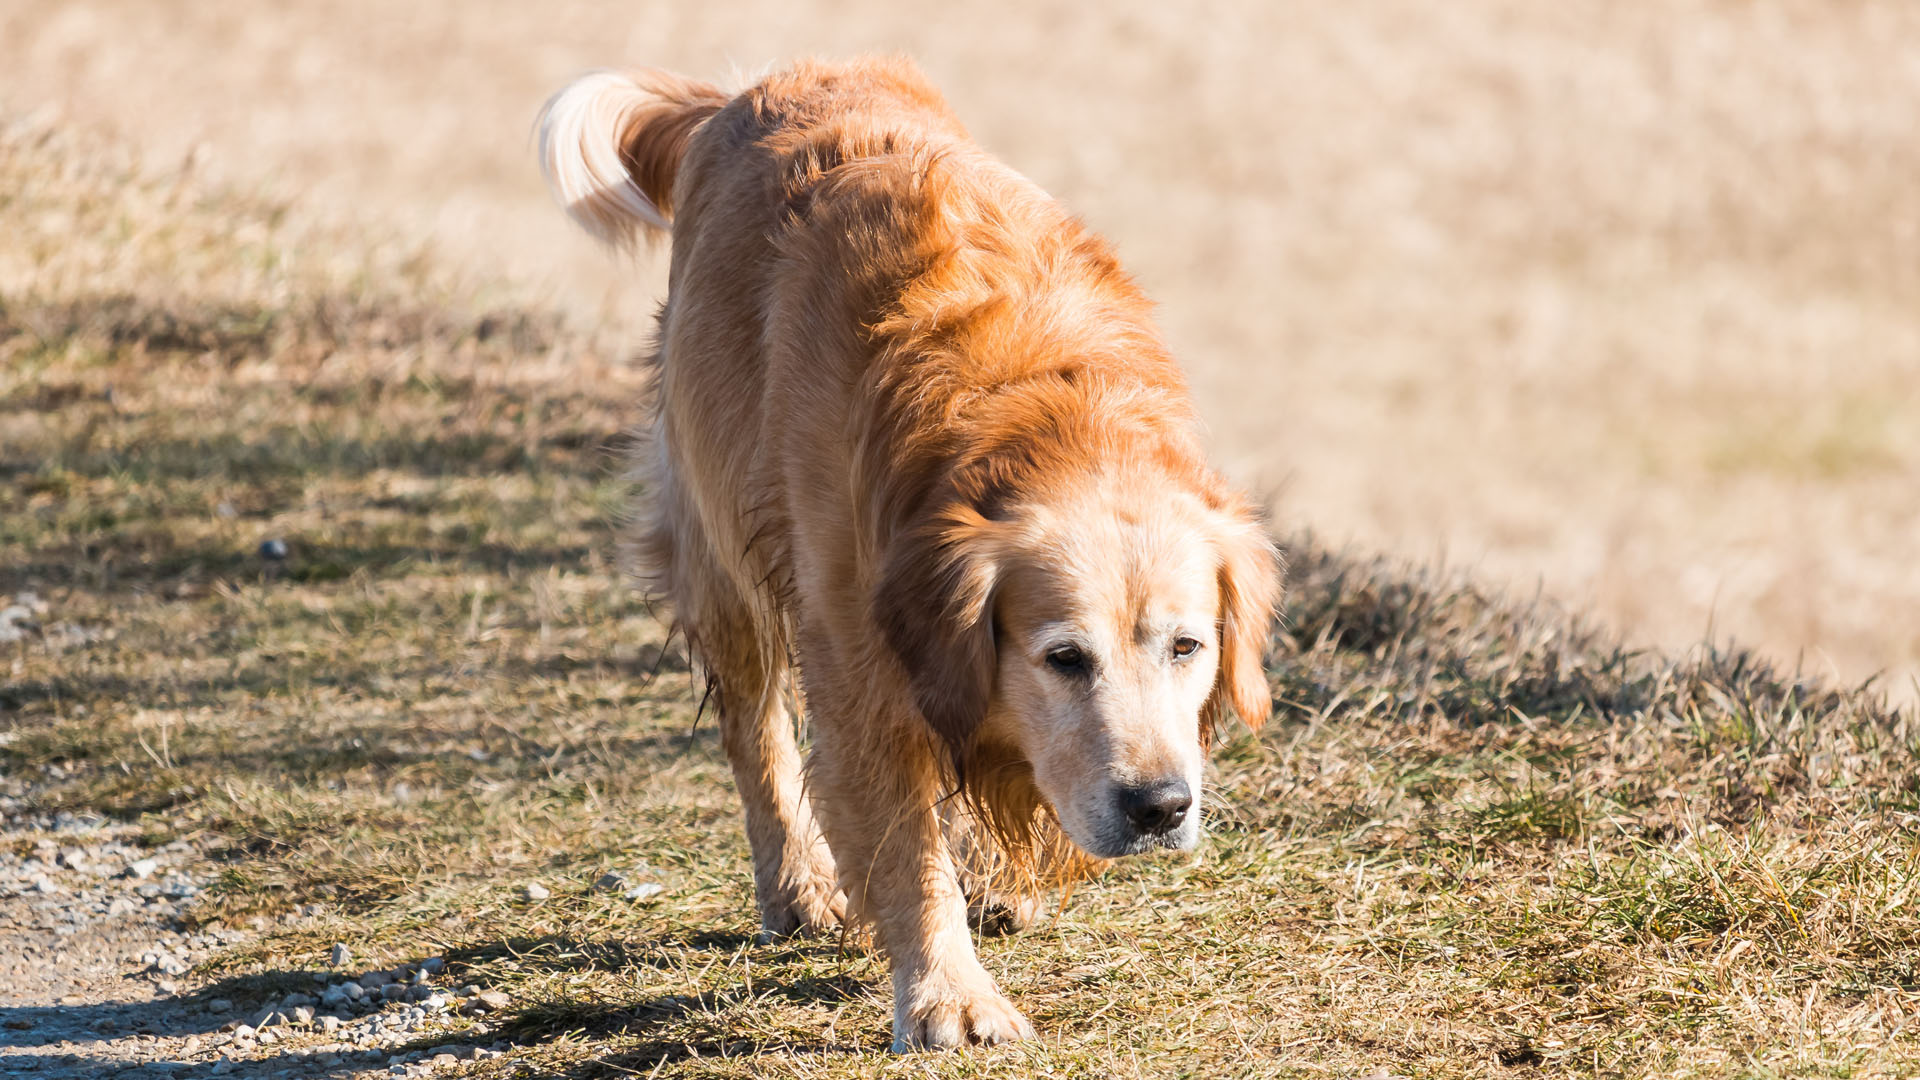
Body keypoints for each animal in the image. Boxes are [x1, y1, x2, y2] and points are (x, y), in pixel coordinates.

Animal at [541, 56, 1282, 1045]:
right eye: (1064, 658)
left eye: (1189, 646)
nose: (1162, 807)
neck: (1038, 410)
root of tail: (752, 89)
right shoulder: (859, 658)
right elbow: (903, 847)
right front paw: (950, 995)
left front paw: (998, 886)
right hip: (718, 540)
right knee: (754, 729)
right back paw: (797, 887)